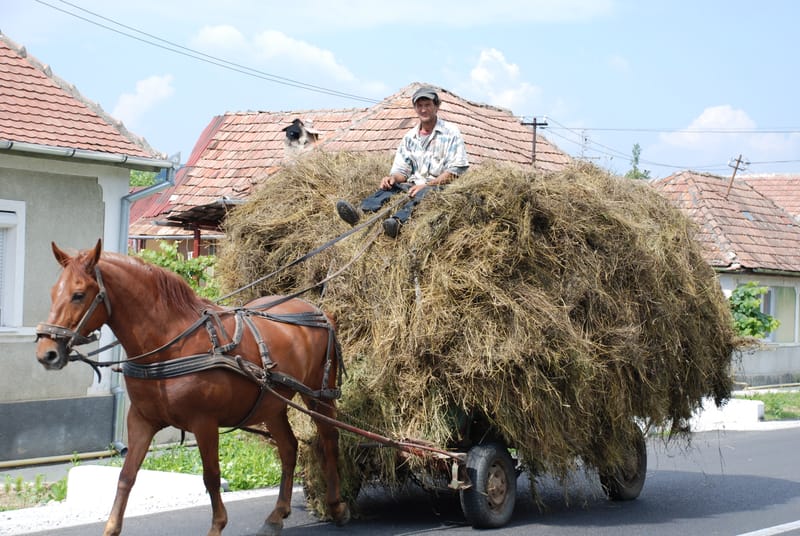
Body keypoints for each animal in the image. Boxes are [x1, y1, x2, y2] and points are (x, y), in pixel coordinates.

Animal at [35, 242, 350, 536]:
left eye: (78, 295)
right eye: (52, 293)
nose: (46, 353)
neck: (170, 343)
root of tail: (319, 310)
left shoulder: (204, 423)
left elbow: (211, 476)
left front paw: (217, 525)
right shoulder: (141, 420)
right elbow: (126, 475)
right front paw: (111, 528)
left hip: (318, 396)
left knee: (330, 440)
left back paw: (336, 505)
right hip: (271, 405)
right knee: (288, 448)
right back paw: (277, 515)